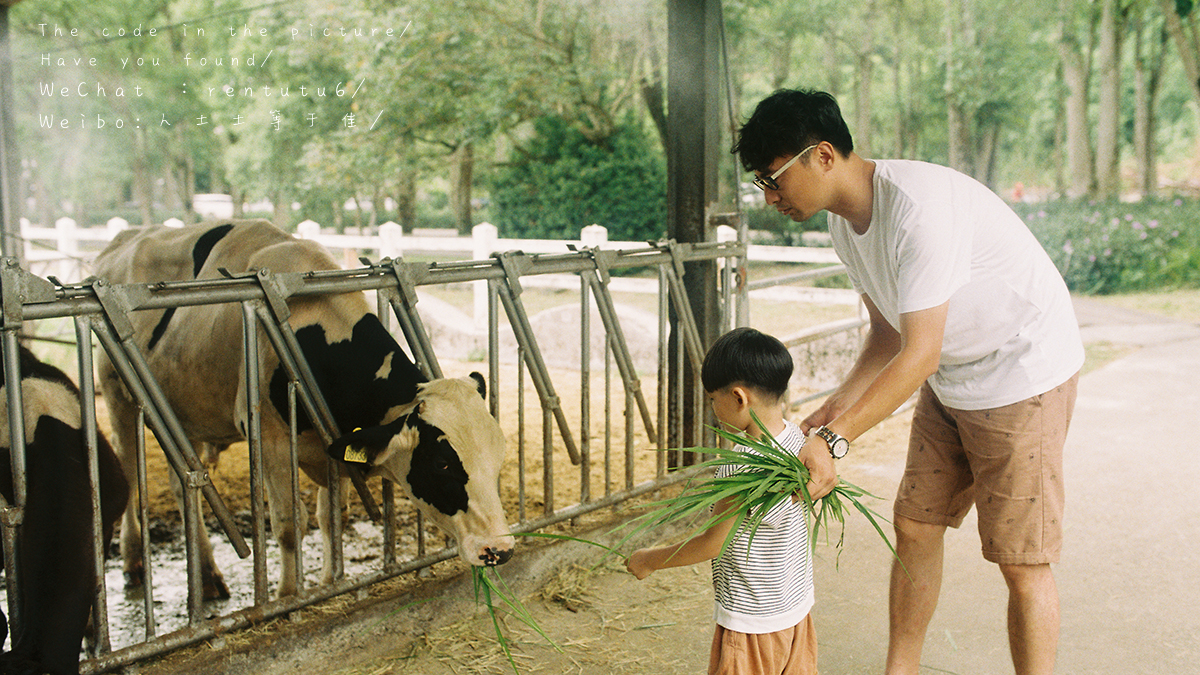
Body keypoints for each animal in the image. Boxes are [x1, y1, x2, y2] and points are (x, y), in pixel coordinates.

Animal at [88, 220, 511, 598]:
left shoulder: (334, 444)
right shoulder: (272, 440)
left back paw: (207, 578)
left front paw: (328, 583)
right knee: (129, 471)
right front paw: (288, 596)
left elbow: (332, 516)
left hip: (185, 412)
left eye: (497, 456)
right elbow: (290, 524)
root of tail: (124, 239)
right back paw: (133, 562)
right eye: (441, 463)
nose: (501, 549)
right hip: (117, 395)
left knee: (183, 485)